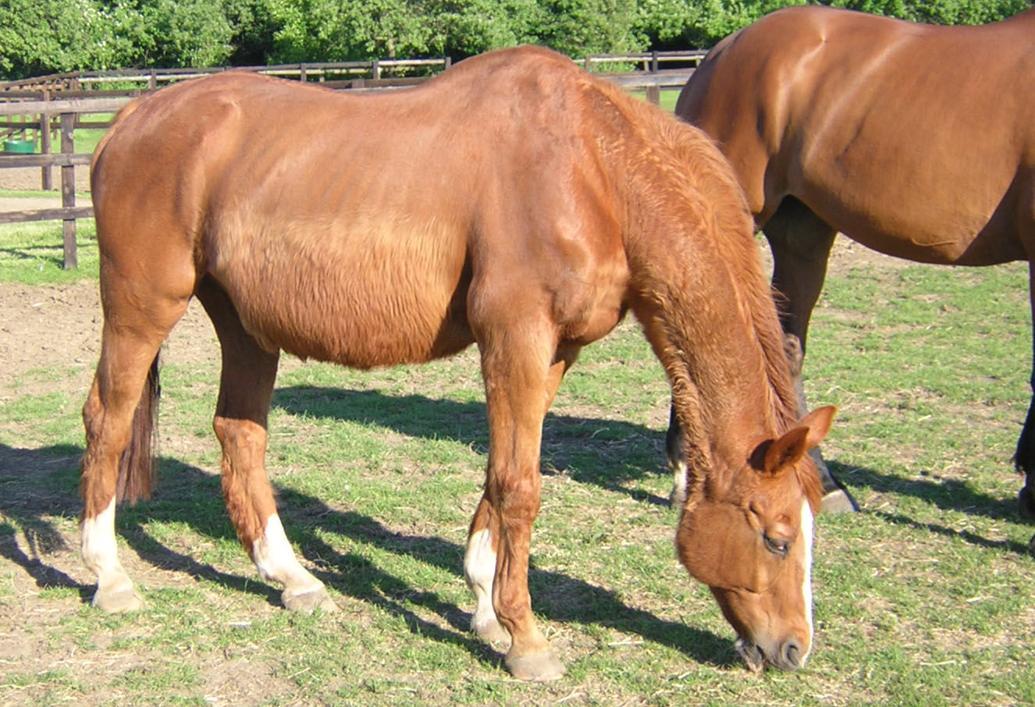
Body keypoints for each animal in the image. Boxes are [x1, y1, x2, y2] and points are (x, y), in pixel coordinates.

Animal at [80, 46, 835, 680]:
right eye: (776, 538)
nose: (792, 649)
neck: (593, 169)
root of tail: (131, 119)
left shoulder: (553, 351)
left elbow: (502, 475)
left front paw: (485, 606)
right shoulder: (515, 336)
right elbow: (520, 486)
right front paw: (527, 641)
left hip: (244, 324)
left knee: (239, 435)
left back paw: (293, 579)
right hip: (143, 304)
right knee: (107, 420)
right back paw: (109, 577)